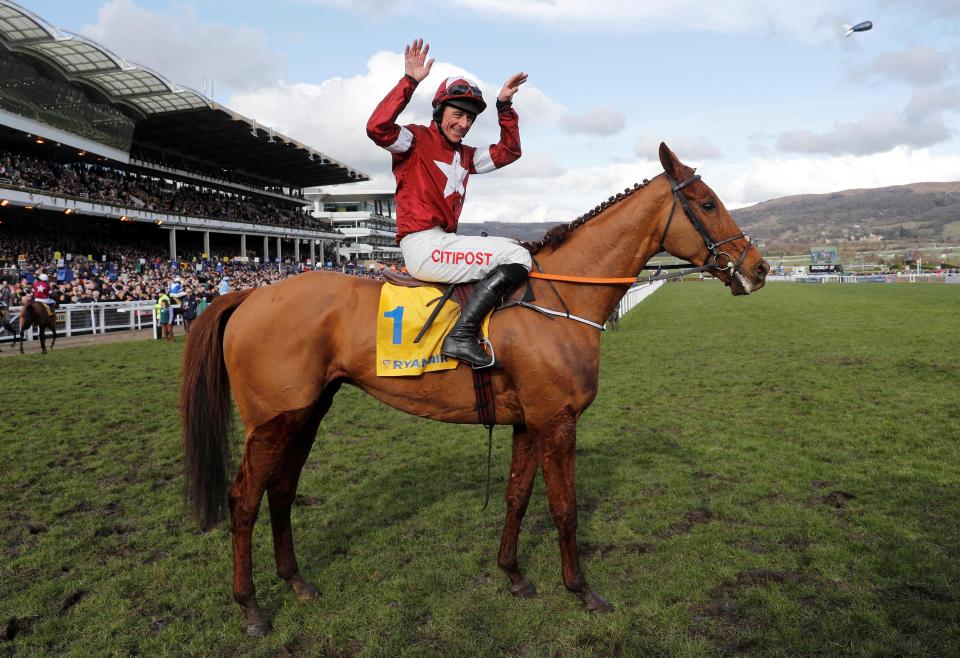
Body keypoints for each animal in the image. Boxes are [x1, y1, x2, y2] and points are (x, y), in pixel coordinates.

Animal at [178, 142, 764, 632]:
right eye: (708, 203)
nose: (757, 269)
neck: (559, 299)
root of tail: (249, 295)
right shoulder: (557, 422)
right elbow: (565, 507)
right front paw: (582, 591)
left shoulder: (530, 422)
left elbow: (516, 496)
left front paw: (514, 575)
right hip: (270, 423)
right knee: (243, 499)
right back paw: (251, 608)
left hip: (305, 414)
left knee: (280, 491)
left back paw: (296, 583)